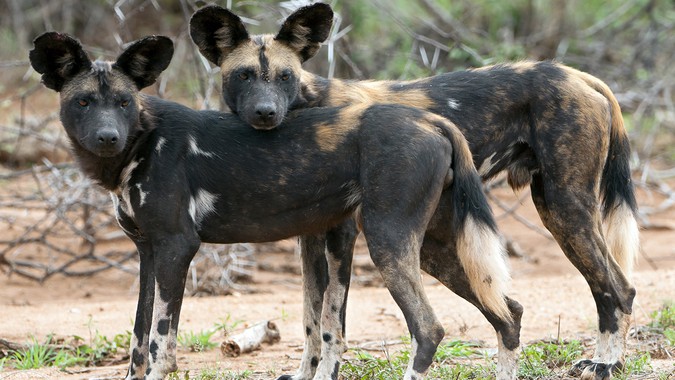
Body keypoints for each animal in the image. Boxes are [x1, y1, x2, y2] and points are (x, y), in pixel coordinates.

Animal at [29, 31, 516, 380]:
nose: (108, 137)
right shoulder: (148, 254)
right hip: (435, 249)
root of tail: (431, 120)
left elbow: (160, 347)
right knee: (509, 314)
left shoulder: (176, 248)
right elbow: (136, 342)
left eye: (124, 102)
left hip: (388, 242)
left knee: (428, 329)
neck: (142, 143)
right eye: (84, 102)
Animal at [190, 3, 640, 380]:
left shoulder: (341, 235)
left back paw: (605, 363)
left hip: (563, 210)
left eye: (285, 76)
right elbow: (310, 320)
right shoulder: (311, 238)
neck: (307, 104)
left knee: (618, 288)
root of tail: (577, 74)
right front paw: (304, 375)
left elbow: (333, 324)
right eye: (244, 75)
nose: (265, 113)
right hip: (511, 218)